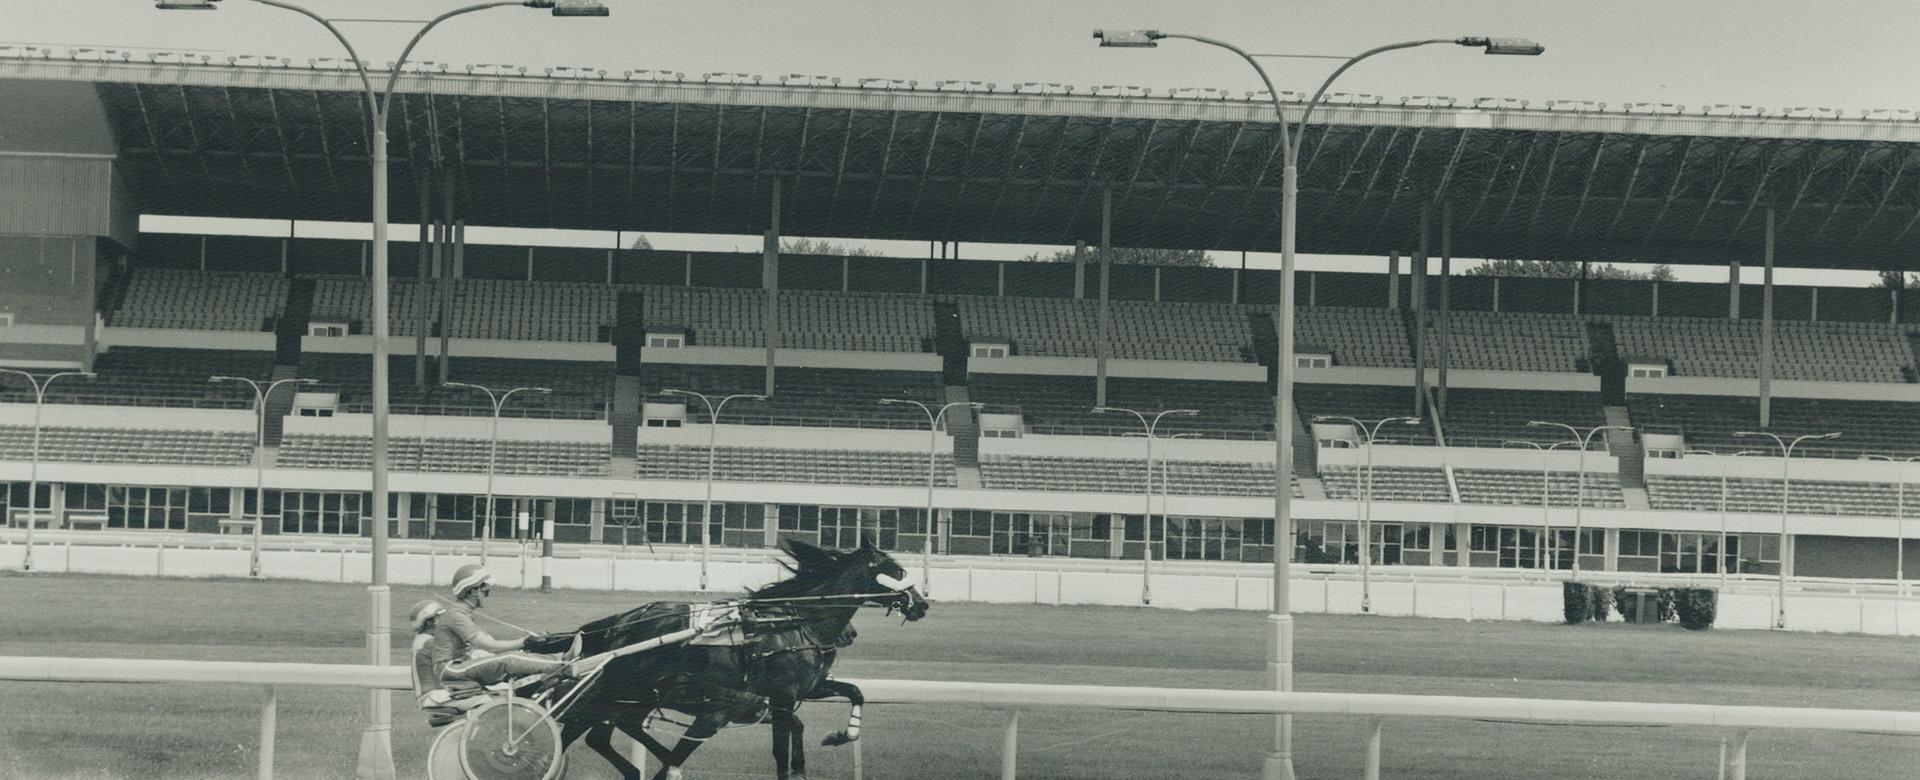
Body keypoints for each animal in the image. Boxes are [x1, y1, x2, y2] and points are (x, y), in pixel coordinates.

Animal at [518, 537, 921, 780]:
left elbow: (852, 693)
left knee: (596, 732)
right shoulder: (781, 695)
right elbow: (782, 743)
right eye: (897, 571)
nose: (922, 603)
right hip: (623, 690)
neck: (796, 620)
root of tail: (618, 623)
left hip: (633, 695)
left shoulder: (805, 688)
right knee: (582, 726)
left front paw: (840, 735)